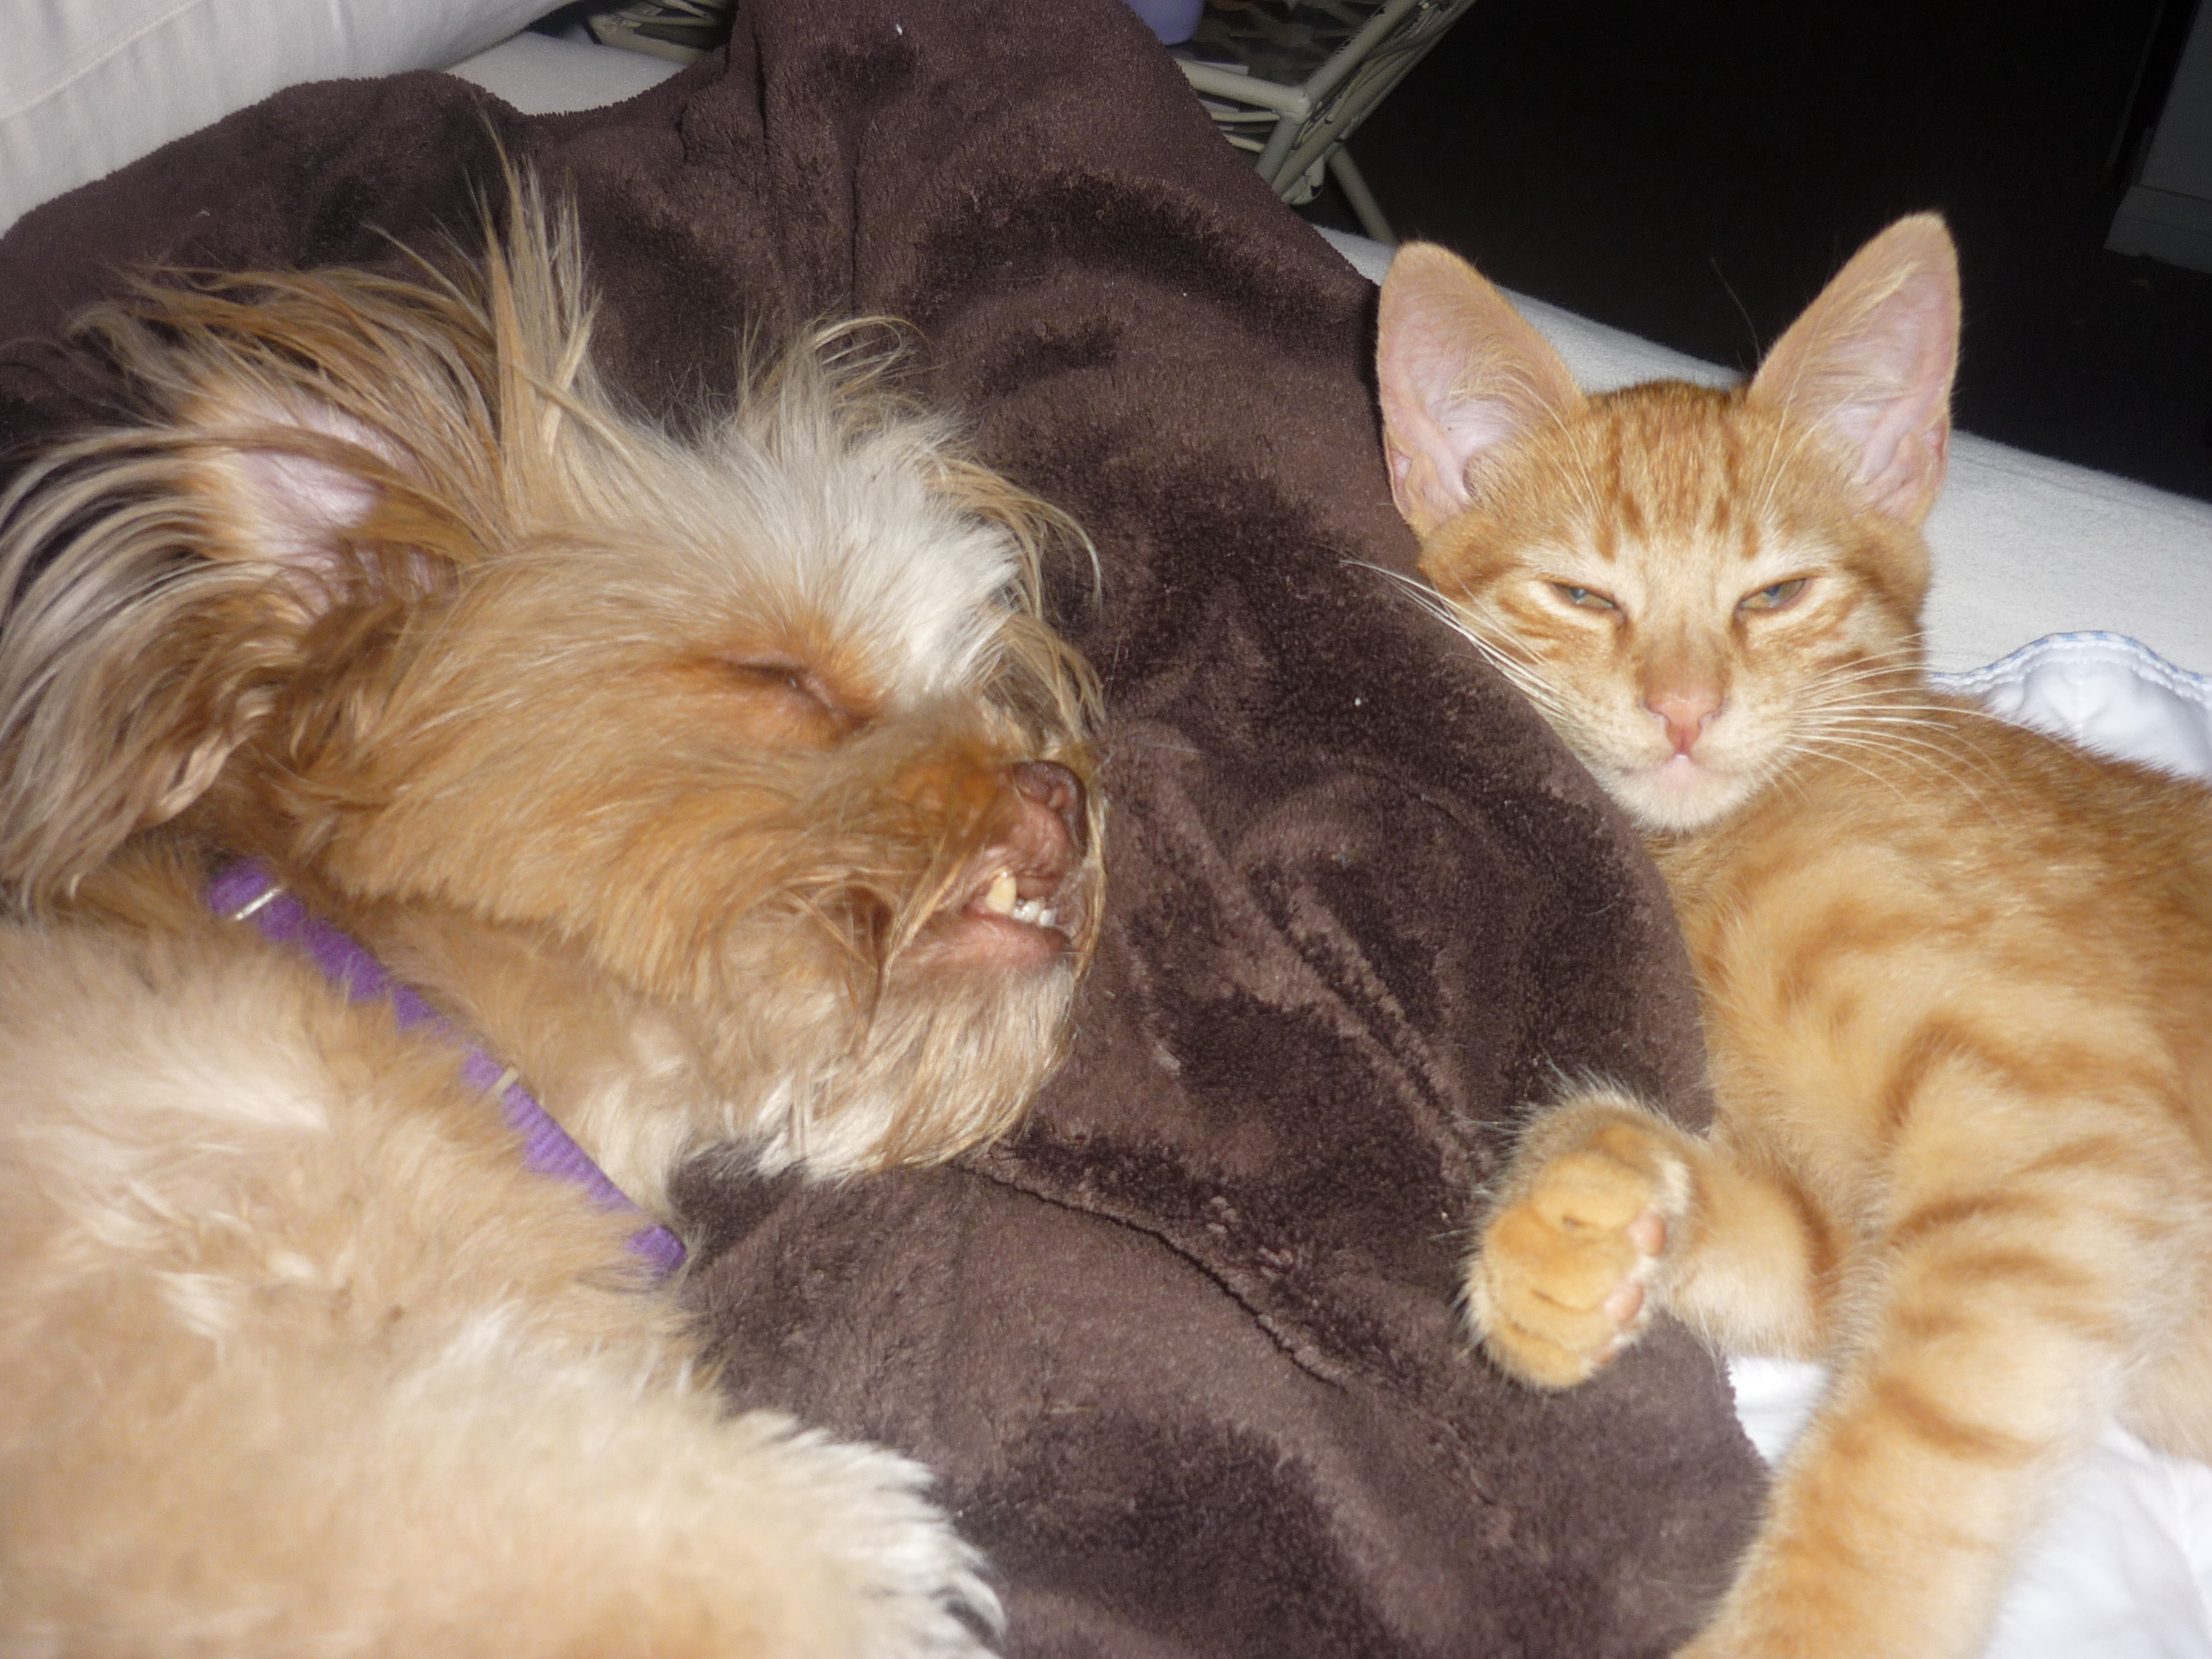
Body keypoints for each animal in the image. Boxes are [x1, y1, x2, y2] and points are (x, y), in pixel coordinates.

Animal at [1374, 213, 2212, 1659]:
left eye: (1772, 596)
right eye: (1583, 596)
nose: (1681, 708)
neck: (1721, 848)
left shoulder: (2063, 1154)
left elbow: (1897, 1466)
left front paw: (1806, 1624)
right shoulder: (1852, 1248)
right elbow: (1762, 1227)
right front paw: (1581, 1199)